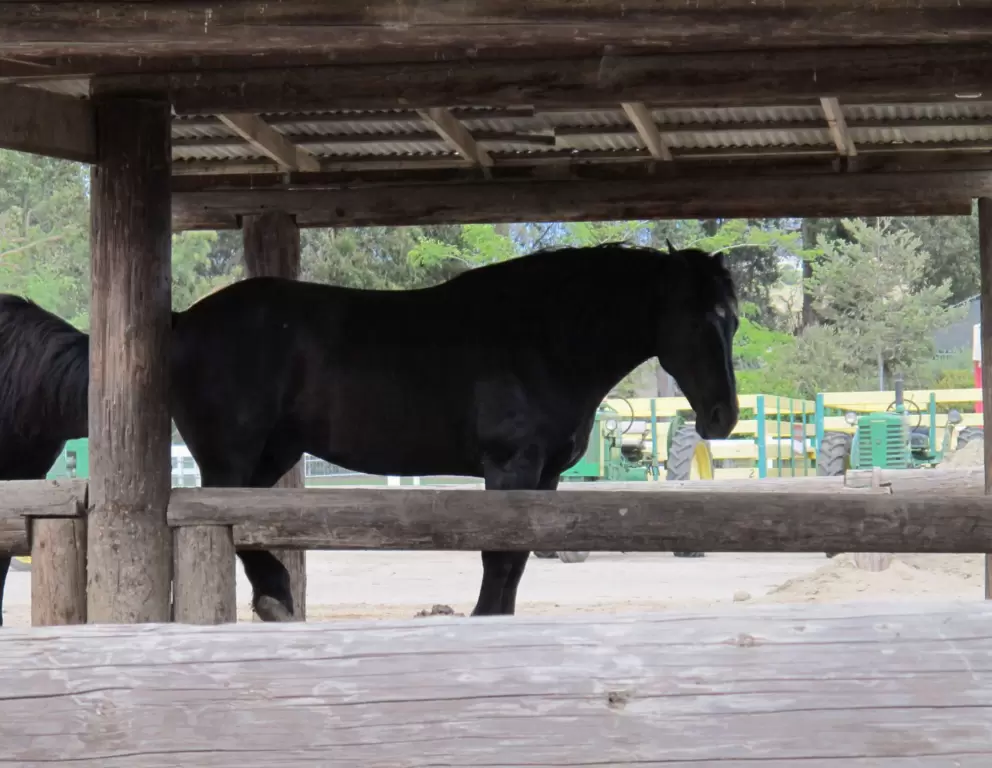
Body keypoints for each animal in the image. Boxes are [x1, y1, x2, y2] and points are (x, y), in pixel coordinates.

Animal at [0, 241, 740, 625]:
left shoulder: (546, 480)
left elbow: (519, 563)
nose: (722, 418)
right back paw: (274, 598)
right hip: (231, 453)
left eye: (731, 320)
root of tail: (182, 320)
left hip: (274, 452)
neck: (539, 337)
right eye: (701, 319)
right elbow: (499, 560)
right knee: (227, 521)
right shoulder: (509, 471)